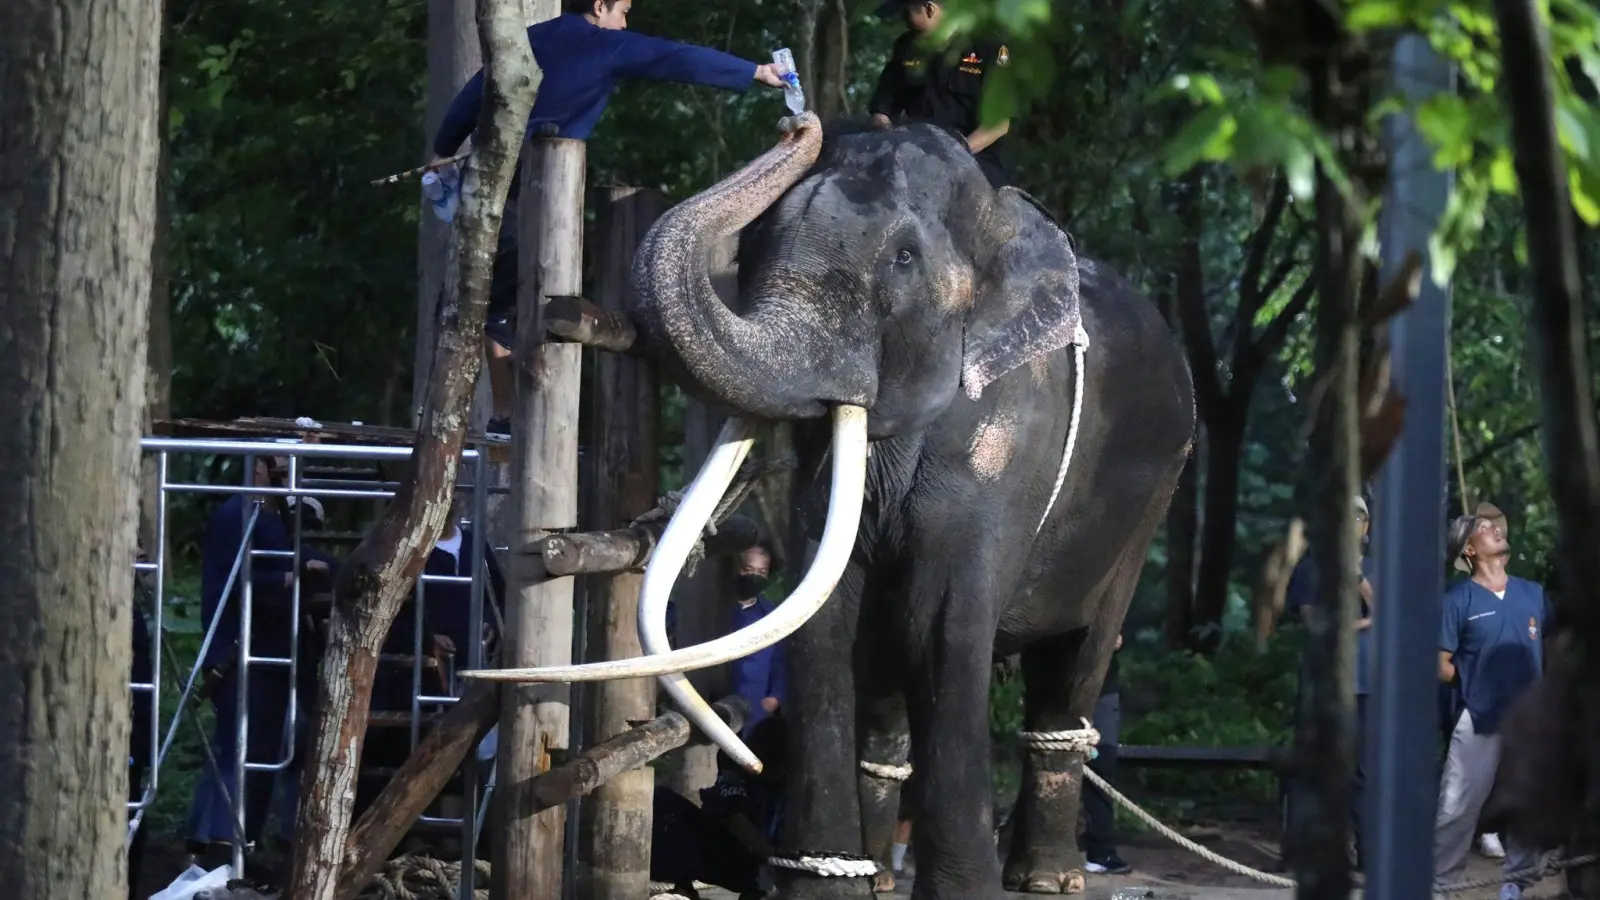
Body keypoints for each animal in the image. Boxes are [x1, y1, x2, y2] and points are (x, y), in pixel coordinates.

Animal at [473, 113, 1203, 896]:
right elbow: (826, 620)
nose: (801, 120)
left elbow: (943, 627)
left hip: (1153, 498)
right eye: (756, 249)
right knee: (887, 688)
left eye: (905, 259)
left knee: (1076, 664)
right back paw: (881, 874)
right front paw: (819, 884)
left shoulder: (1009, 444)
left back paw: (1046, 878)